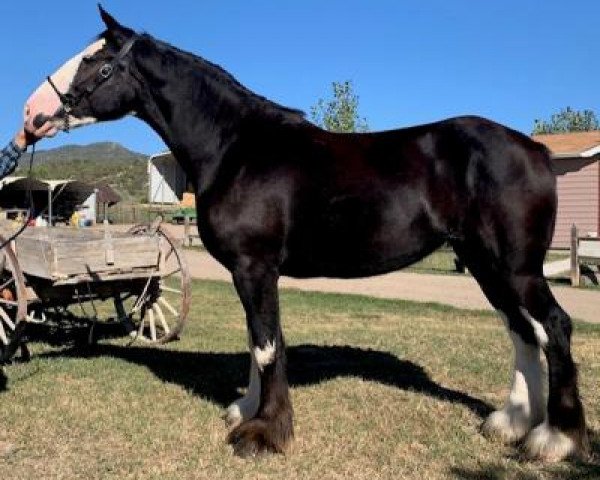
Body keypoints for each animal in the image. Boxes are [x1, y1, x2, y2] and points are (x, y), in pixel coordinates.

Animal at [27, 5, 584, 460]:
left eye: (97, 62)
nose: (32, 115)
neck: (237, 147)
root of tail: (536, 150)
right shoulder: (248, 272)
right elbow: (257, 338)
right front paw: (246, 409)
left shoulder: (256, 267)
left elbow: (268, 345)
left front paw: (263, 434)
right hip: (487, 264)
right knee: (521, 330)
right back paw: (512, 424)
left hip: (516, 267)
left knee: (553, 326)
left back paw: (554, 438)